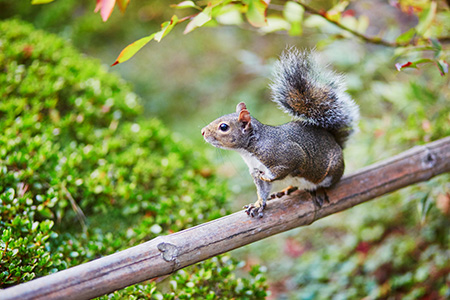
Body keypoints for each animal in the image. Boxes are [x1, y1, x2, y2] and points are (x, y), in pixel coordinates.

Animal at [200, 48, 358, 218]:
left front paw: (267, 177)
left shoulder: (288, 154)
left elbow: (283, 169)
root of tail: (336, 142)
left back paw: (319, 190)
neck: (251, 148)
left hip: (331, 171)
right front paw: (258, 204)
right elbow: (262, 191)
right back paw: (286, 190)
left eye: (223, 127)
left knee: (327, 183)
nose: (202, 132)